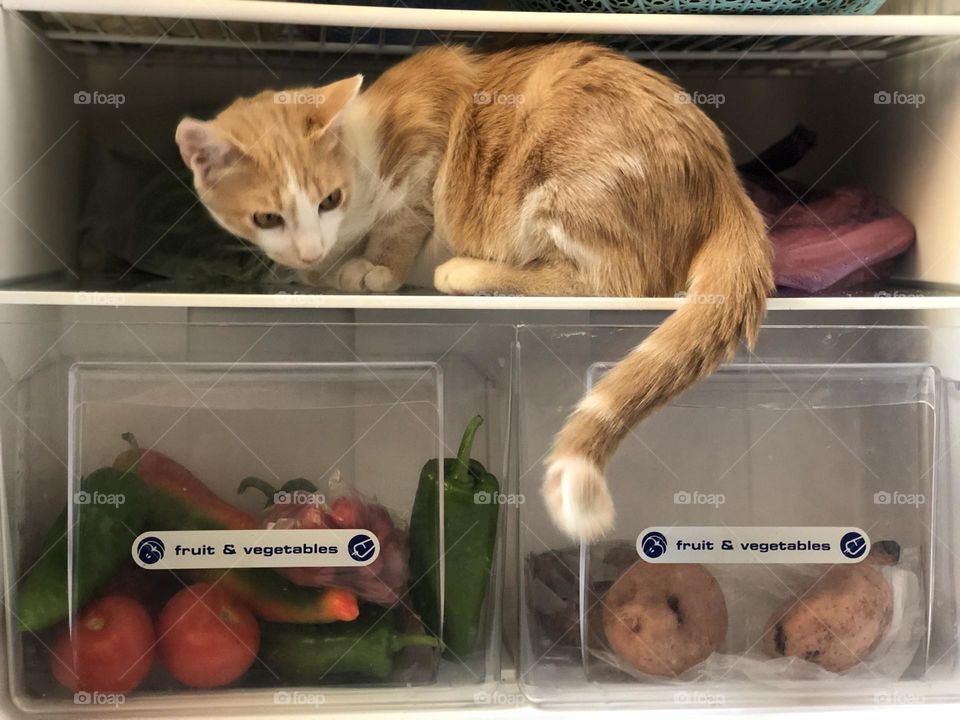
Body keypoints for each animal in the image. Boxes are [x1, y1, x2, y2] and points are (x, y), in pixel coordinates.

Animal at [176, 40, 772, 540]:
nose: (308, 252)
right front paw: (308, 273)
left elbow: (401, 223)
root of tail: (726, 180)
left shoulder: (424, 144)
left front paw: (375, 269)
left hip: (563, 188)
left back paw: (461, 271)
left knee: (610, 281)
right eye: (267, 218)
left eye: (329, 199)